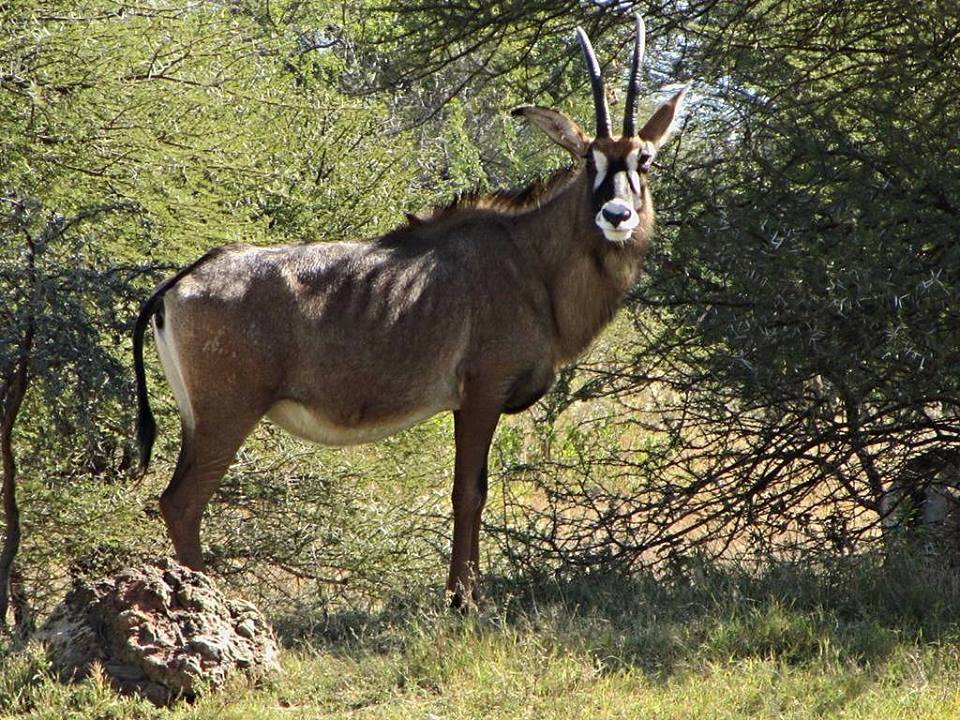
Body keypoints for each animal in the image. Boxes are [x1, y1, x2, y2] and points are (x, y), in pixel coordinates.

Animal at [133, 15, 686, 606]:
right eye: (589, 160)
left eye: (644, 159)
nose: (616, 214)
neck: (529, 257)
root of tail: (181, 281)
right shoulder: (483, 390)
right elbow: (469, 491)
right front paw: (464, 599)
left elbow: (472, 490)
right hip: (227, 414)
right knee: (182, 502)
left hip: (199, 420)